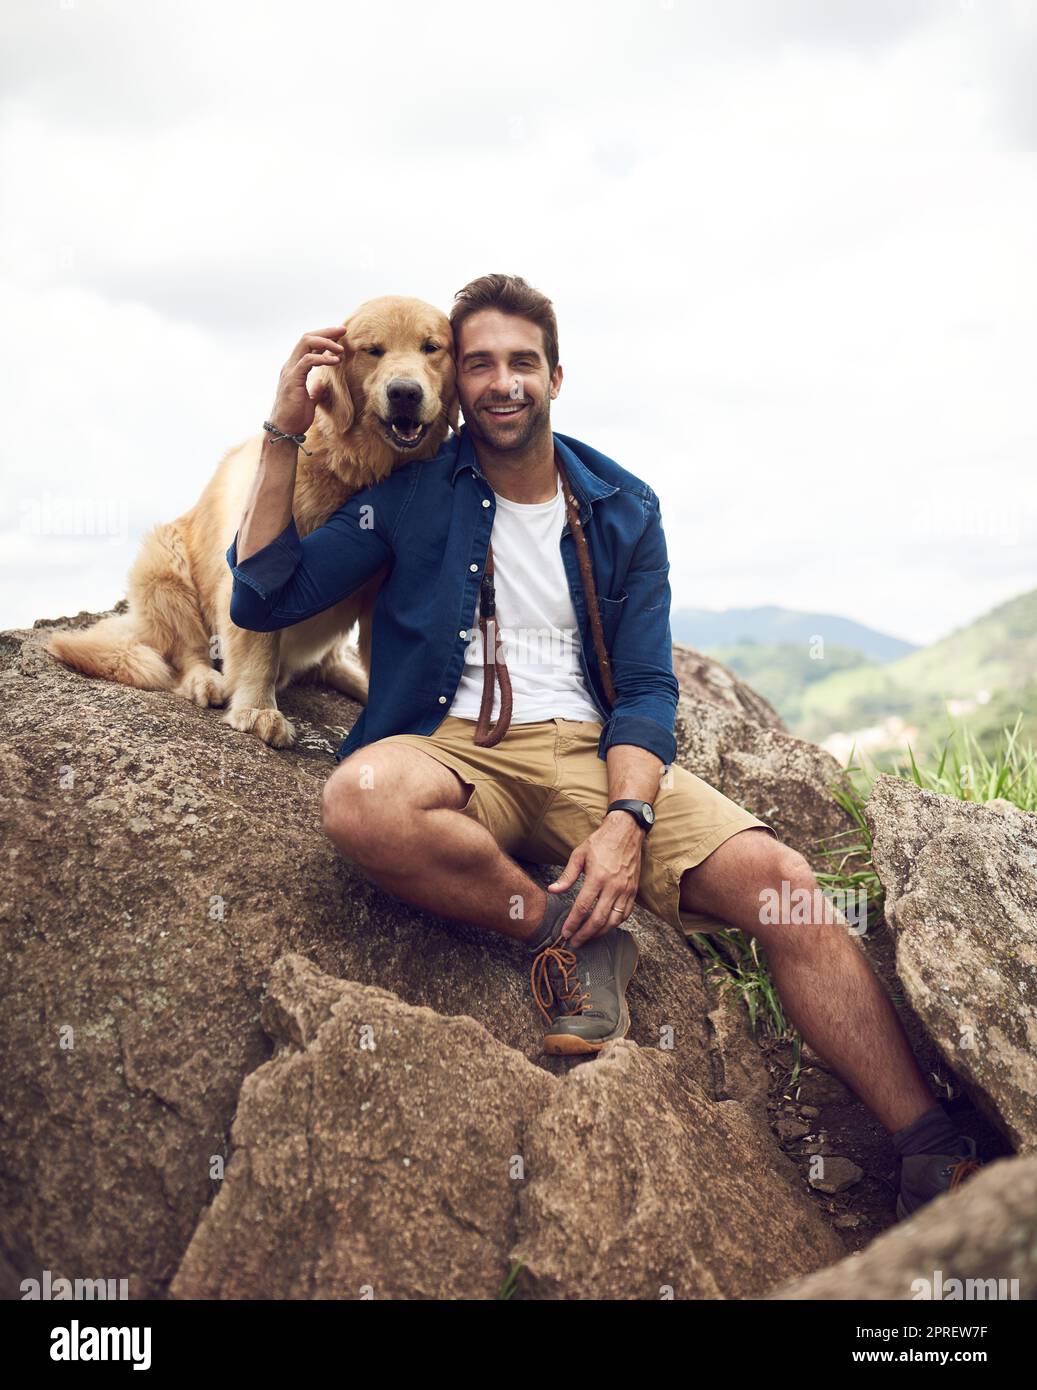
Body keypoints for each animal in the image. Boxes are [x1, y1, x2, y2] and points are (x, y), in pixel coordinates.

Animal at [44, 294, 455, 750]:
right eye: (373, 350)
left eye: (431, 348)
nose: (404, 393)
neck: (356, 473)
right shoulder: (252, 567)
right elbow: (259, 641)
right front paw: (258, 709)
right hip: (163, 562)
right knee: (186, 650)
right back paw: (205, 680)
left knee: (329, 663)